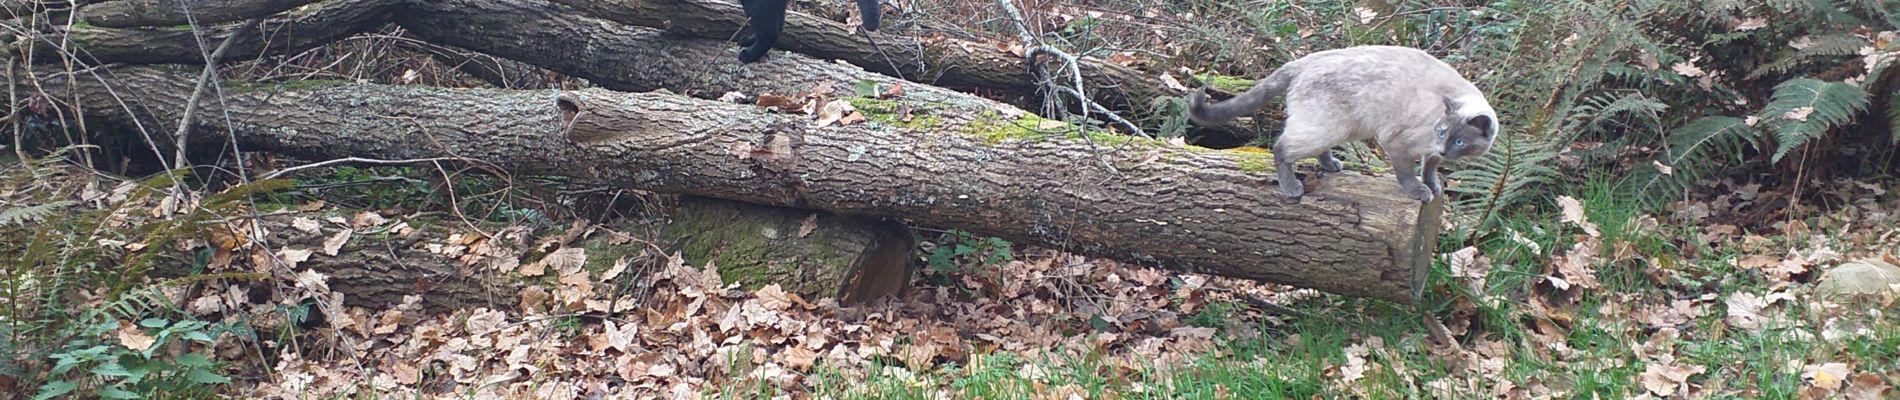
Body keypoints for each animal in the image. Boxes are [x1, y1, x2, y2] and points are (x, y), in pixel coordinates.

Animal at [1185, 45, 1497, 202]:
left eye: (1458, 141)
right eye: (1444, 133)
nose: (1444, 149)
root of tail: (1302, 62)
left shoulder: (1429, 151)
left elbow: (1430, 168)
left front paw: (1433, 186)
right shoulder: (1399, 143)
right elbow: (1408, 175)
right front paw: (1421, 193)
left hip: (1340, 128)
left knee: (1314, 148)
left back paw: (1331, 166)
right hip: (1327, 128)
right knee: (1281, 148)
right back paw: (1292, 188)